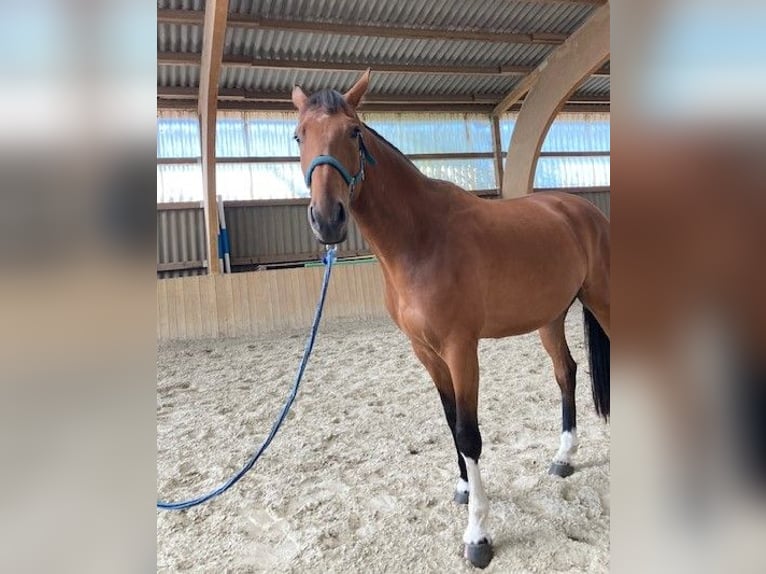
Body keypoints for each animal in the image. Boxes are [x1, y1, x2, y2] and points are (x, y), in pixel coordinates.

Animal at [292, 70, 608, 568]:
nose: (328, 220)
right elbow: (449, 422)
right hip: (550, 317)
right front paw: (463, 488)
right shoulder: (426, 352)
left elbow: (468, 432)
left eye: (354, 132)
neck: (421, 238)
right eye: (299, 135)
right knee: (566, 372)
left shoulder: (462, 349)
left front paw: (478, 534)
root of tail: (584, 211)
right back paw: (564, 456)